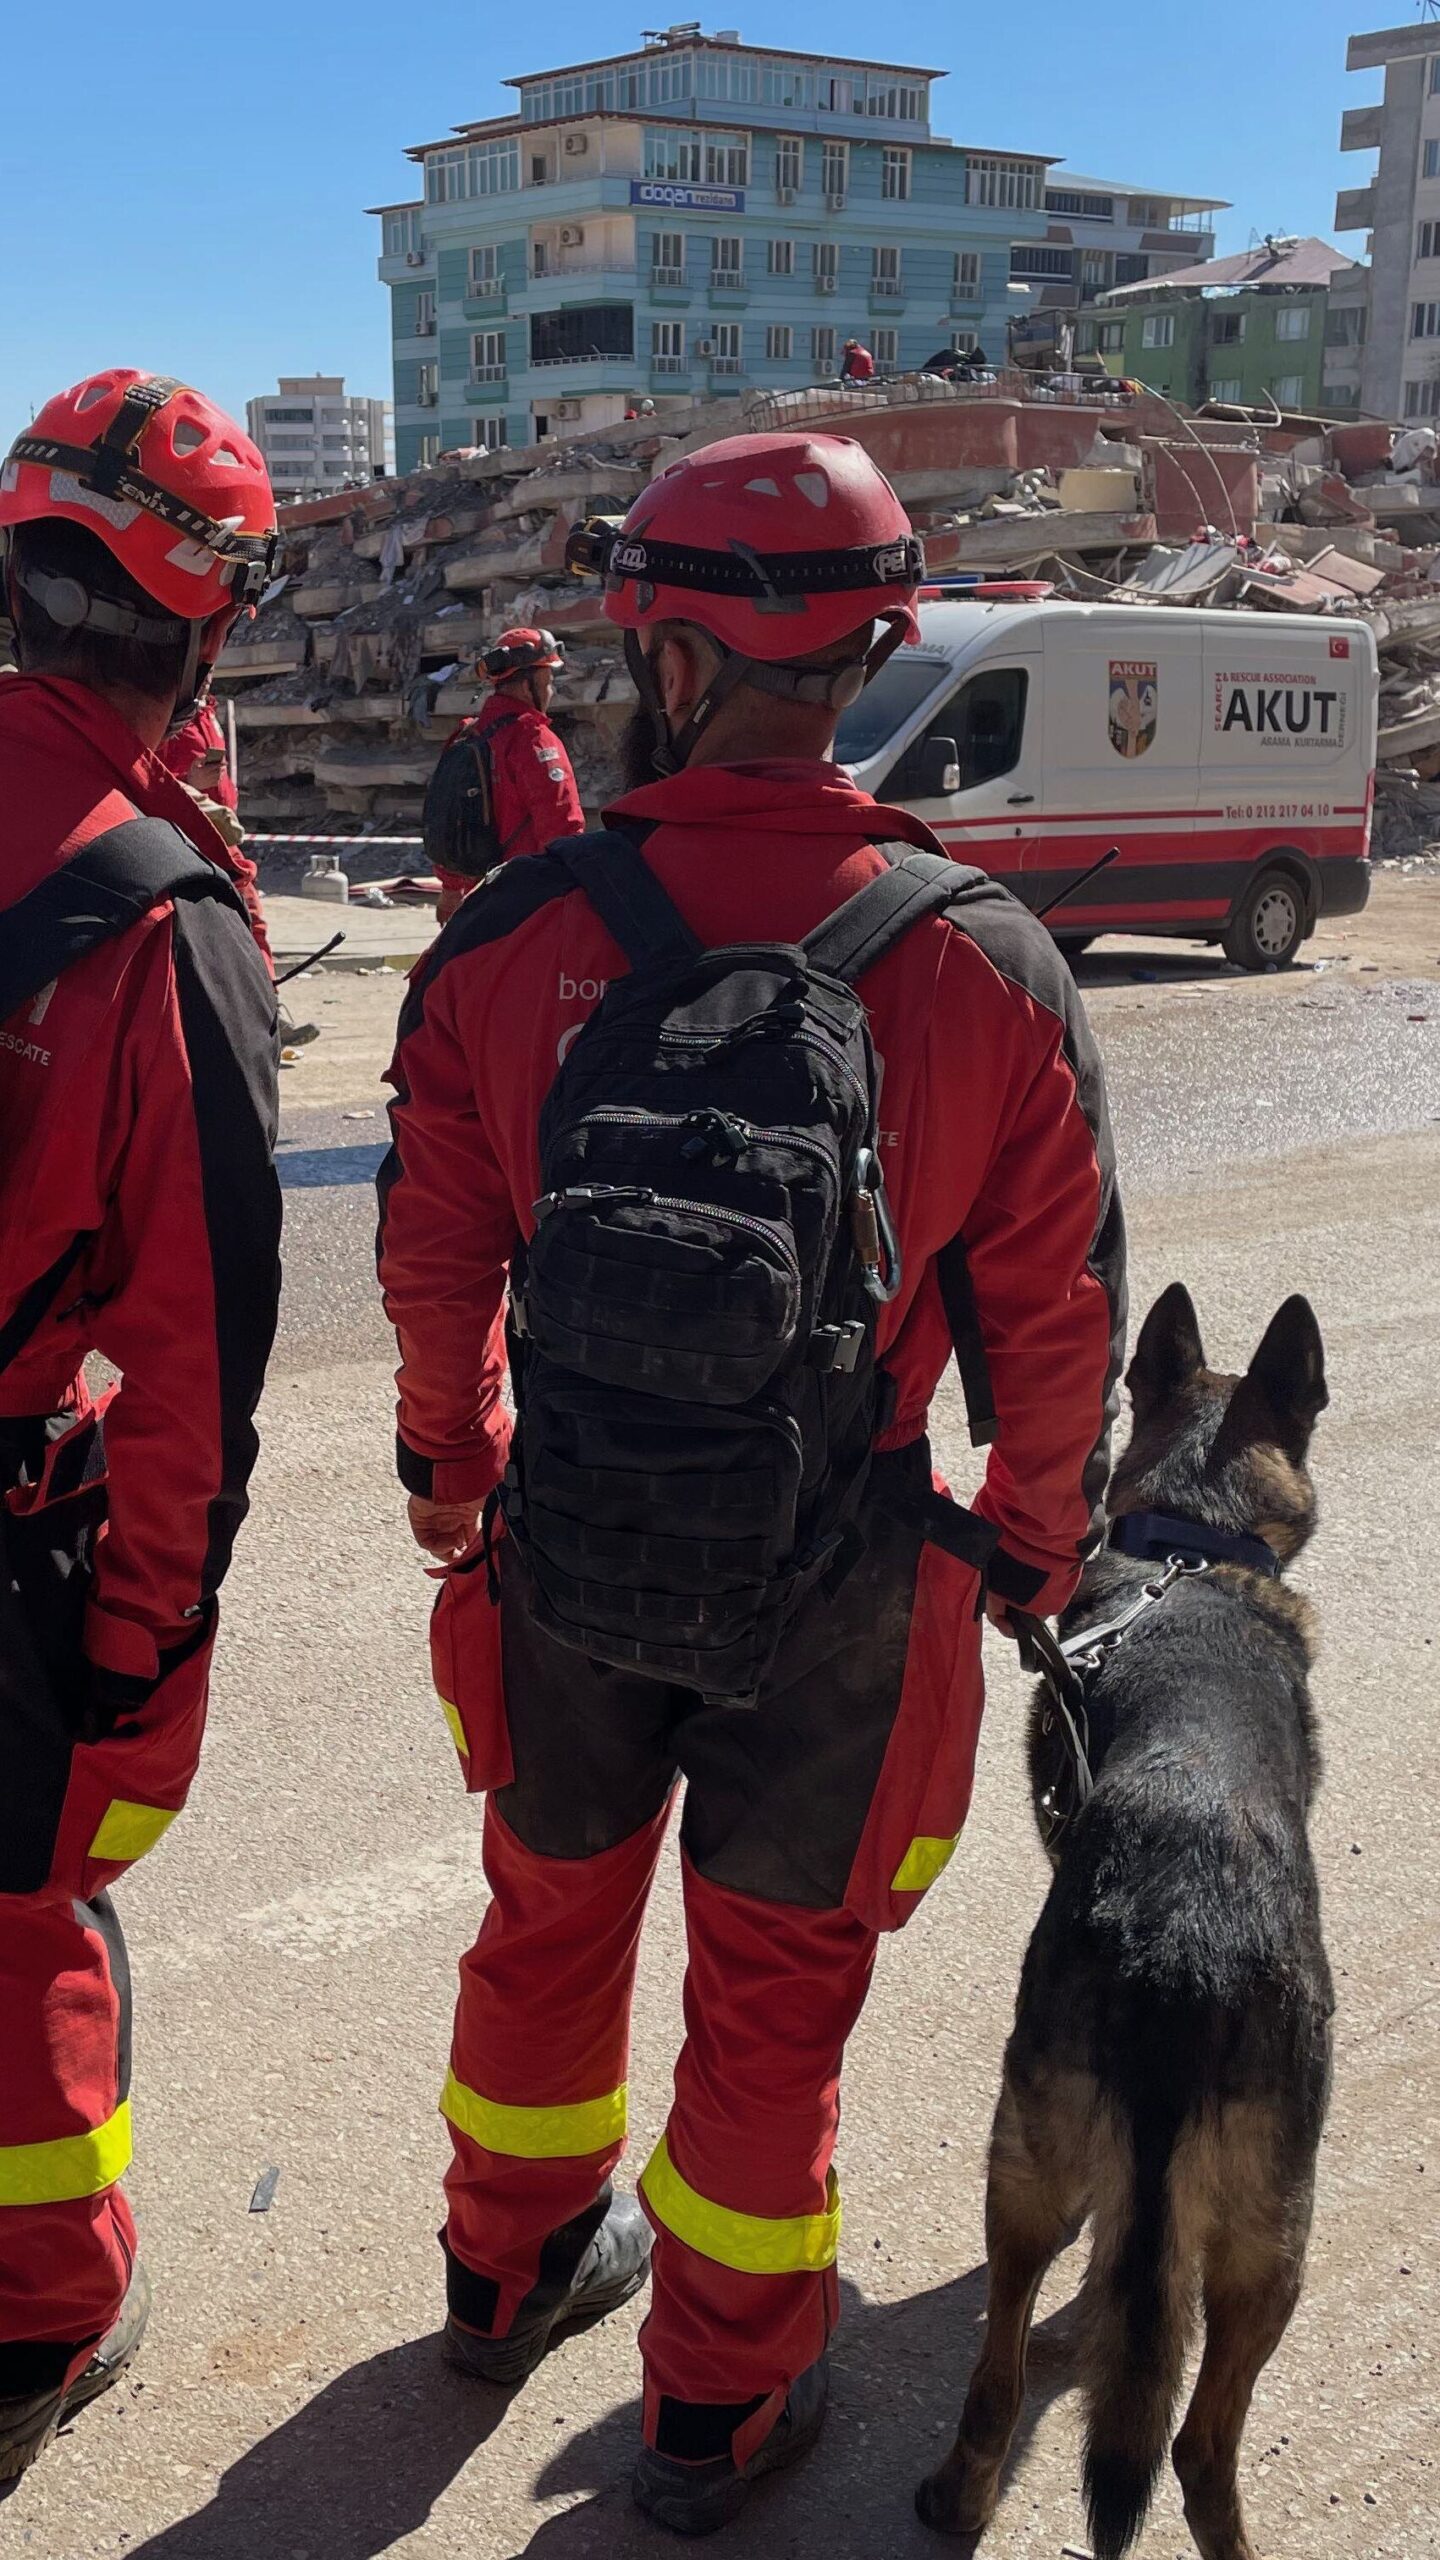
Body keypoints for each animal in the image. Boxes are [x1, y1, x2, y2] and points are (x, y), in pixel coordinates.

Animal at [912, 1280, 1332, 2560]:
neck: (1192, 1542)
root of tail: (1180, 1939)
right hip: (1262, 2235)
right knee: (1189, 2440)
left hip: (1053, 2173)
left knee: (1022, 2373)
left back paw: (967, 2489)